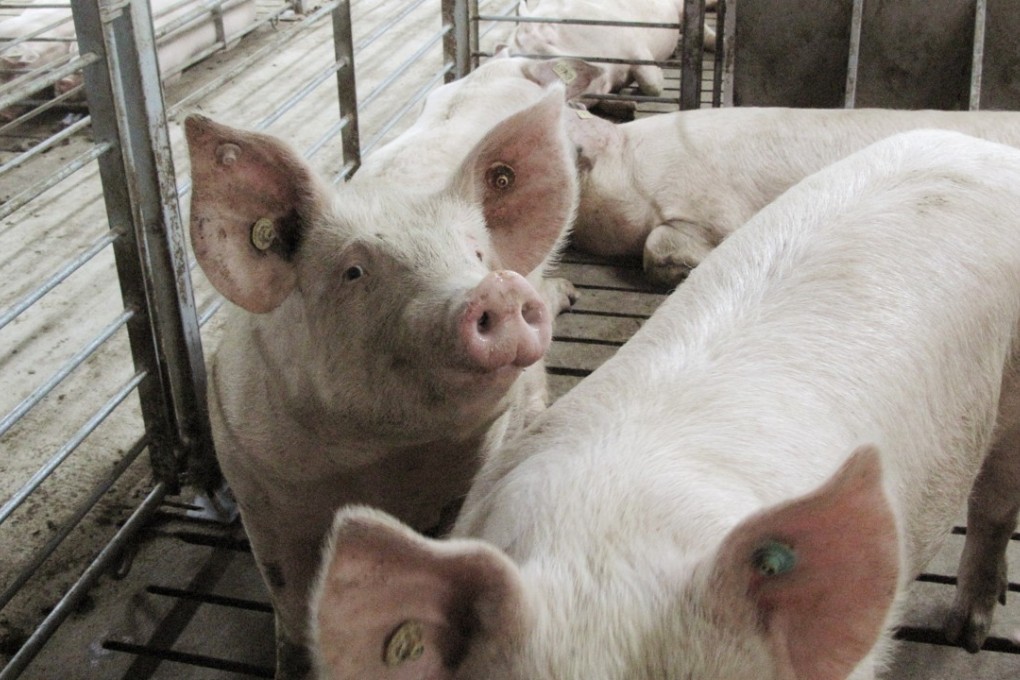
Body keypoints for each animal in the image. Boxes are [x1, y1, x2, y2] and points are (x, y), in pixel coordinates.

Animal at [185, 90, 579, 679]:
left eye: (476, 253)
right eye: (354, 272)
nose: (497, 288)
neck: (382, 463)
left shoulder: (467, 475)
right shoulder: (252, 475)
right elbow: (290, 602)